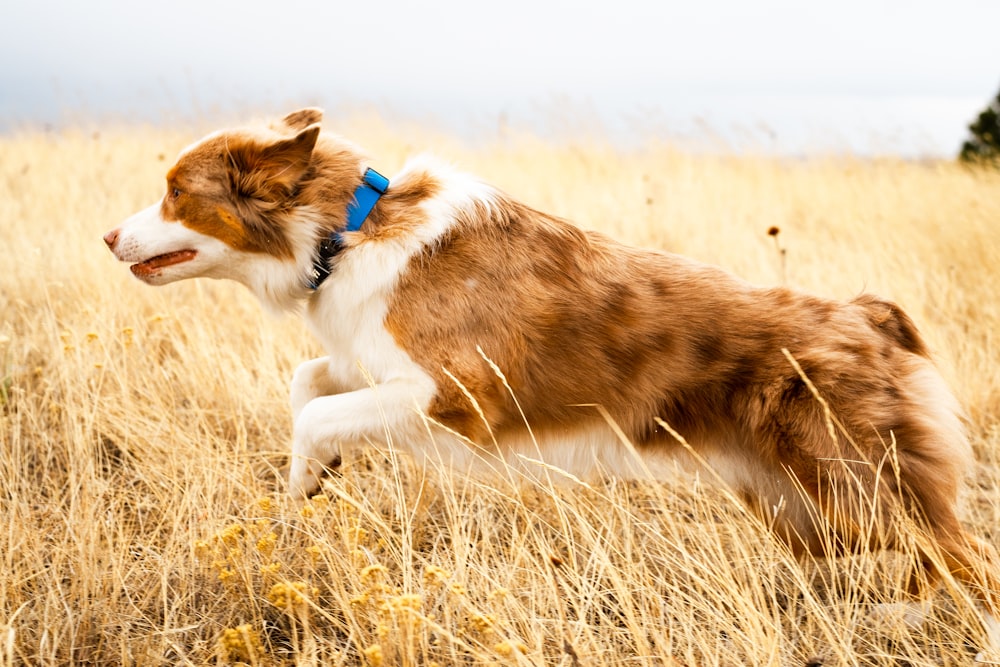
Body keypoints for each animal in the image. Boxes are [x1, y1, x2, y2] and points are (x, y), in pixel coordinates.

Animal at [103, 108, 1000, 648]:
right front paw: (315, 476)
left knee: (966, 559)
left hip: (854, 484)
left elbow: (318, 411)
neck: (347, 233)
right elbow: (308, 381)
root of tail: (870, 314)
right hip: (810, 514)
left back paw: (914, 621)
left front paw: (301, 478)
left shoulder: (456, 391)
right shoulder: (372, 363)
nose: (109, 235)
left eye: (177, 193)